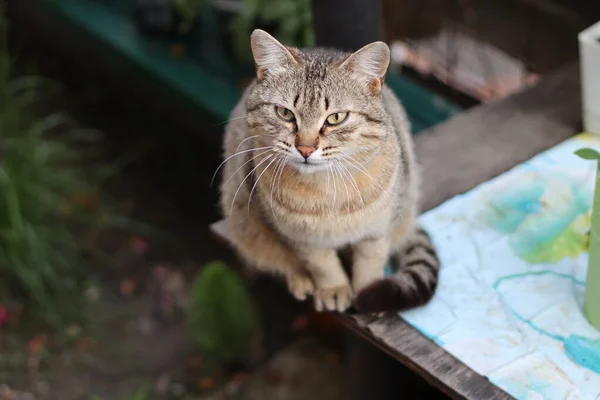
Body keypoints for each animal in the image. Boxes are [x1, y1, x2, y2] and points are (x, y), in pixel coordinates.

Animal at [218, 29, 438, 314]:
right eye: (284, 113)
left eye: (336, 118)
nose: (305, 148)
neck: (327, 190)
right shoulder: (301, 238)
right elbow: (321, 264)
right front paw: (333, 288)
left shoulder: (378, 229)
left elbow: (371, 261)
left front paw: (367, 289)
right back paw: (300, 279)